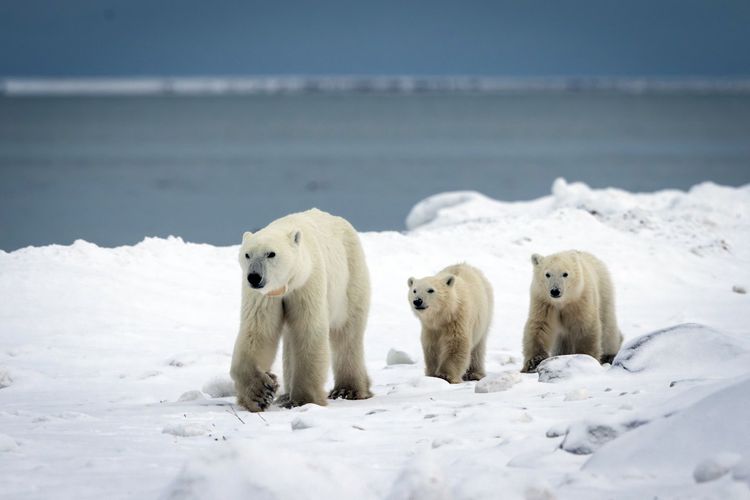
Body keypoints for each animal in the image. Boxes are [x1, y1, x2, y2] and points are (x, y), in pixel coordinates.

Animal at [230, 208, 372, 411]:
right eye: (247, 254)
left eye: (271, 254)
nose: (254, 277)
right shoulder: (265, 296)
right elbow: (258, 331)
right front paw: (261, 393)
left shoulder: (307, 282)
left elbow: (308, 331)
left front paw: (304, 400)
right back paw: (285, 395)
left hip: (350, 277)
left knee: (347, 333)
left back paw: (348, 390)